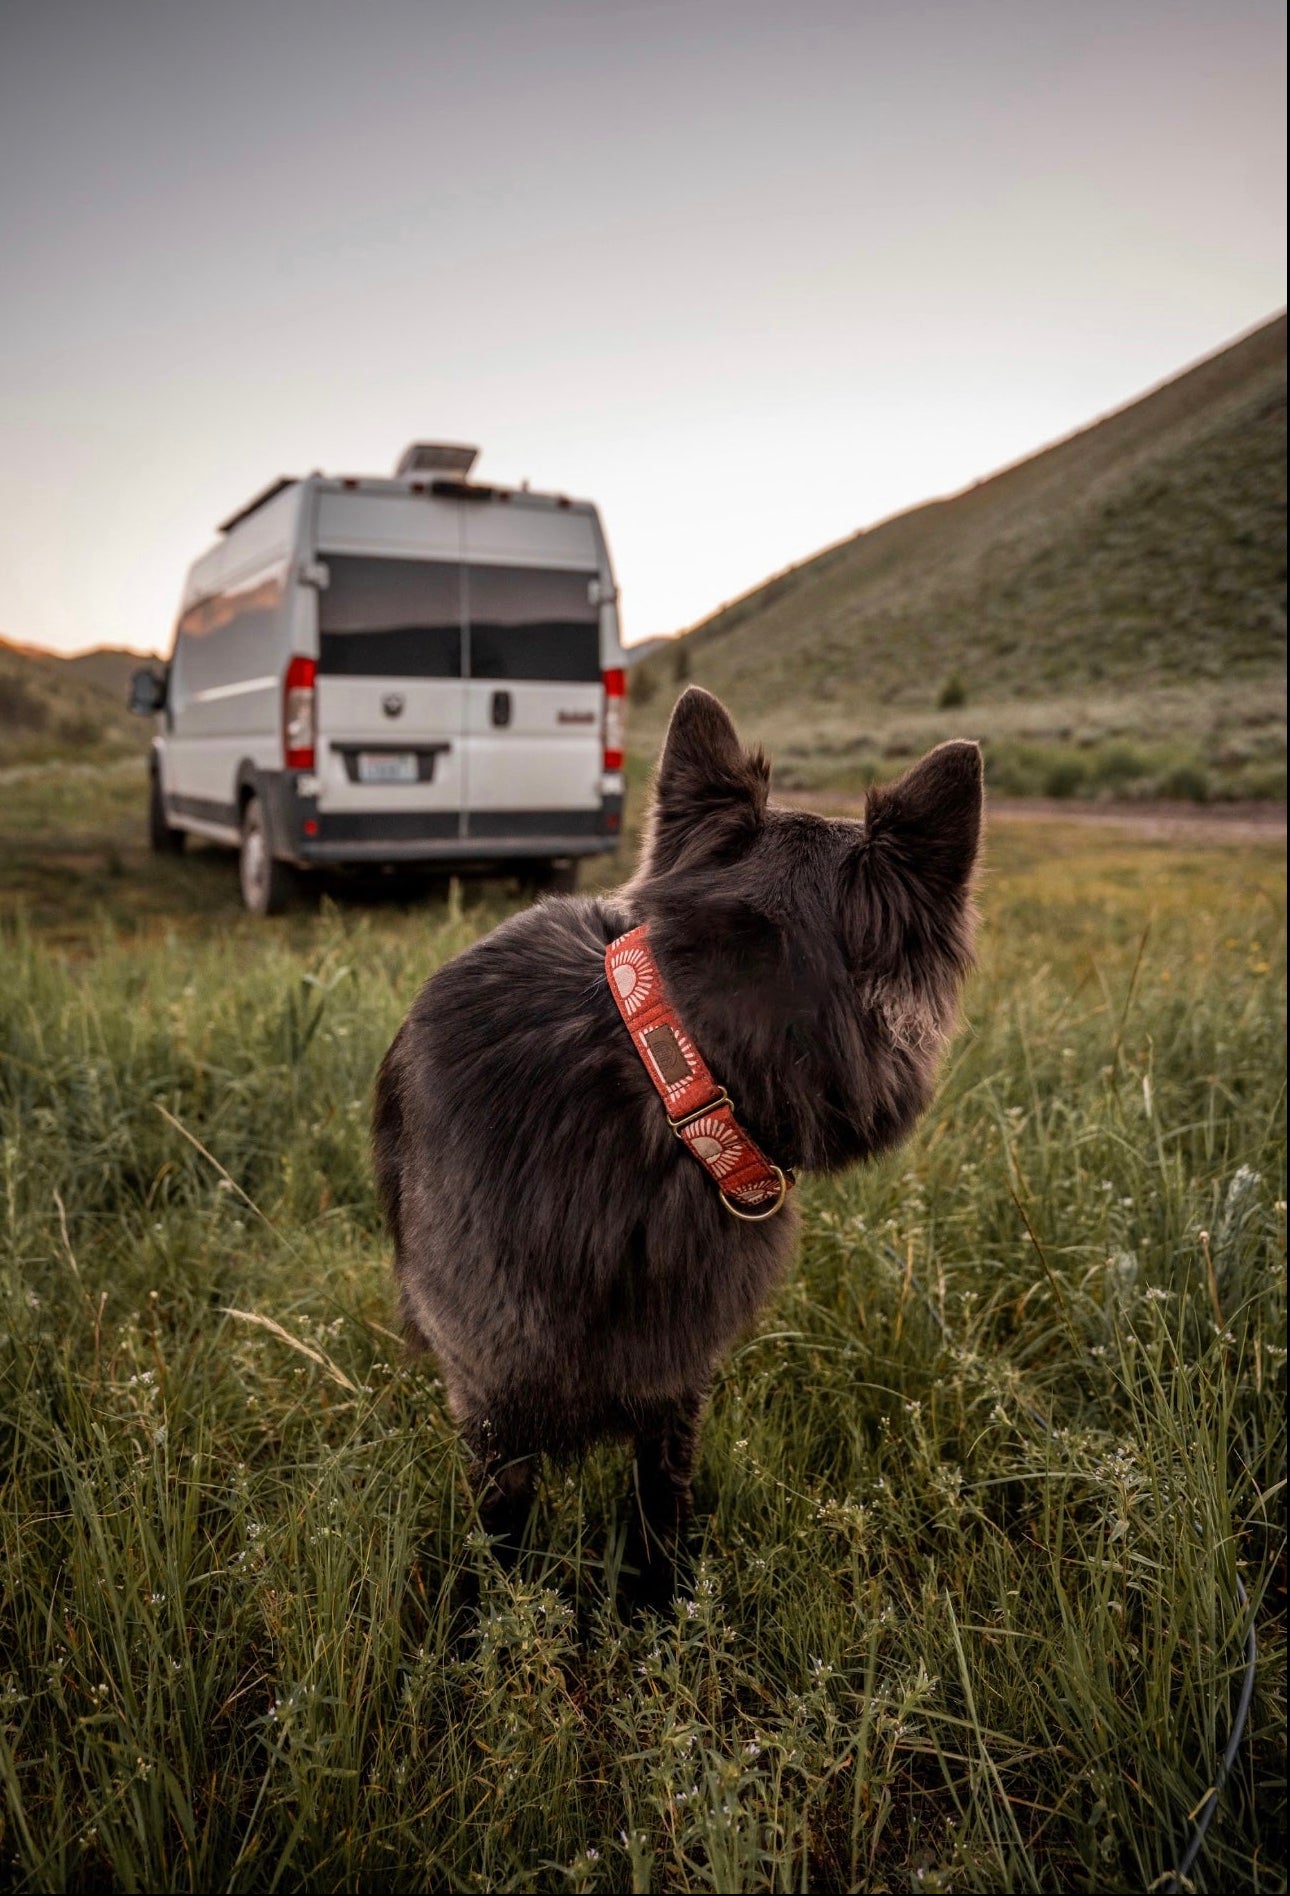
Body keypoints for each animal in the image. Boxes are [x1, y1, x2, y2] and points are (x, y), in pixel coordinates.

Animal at [369, 682, 978, 1600]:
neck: (675, 1071)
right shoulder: (490, 1397)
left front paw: (661, 1609)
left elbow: (660, 1502)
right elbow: (503, 1540)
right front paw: (498, 1624)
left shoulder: (673, 1374)